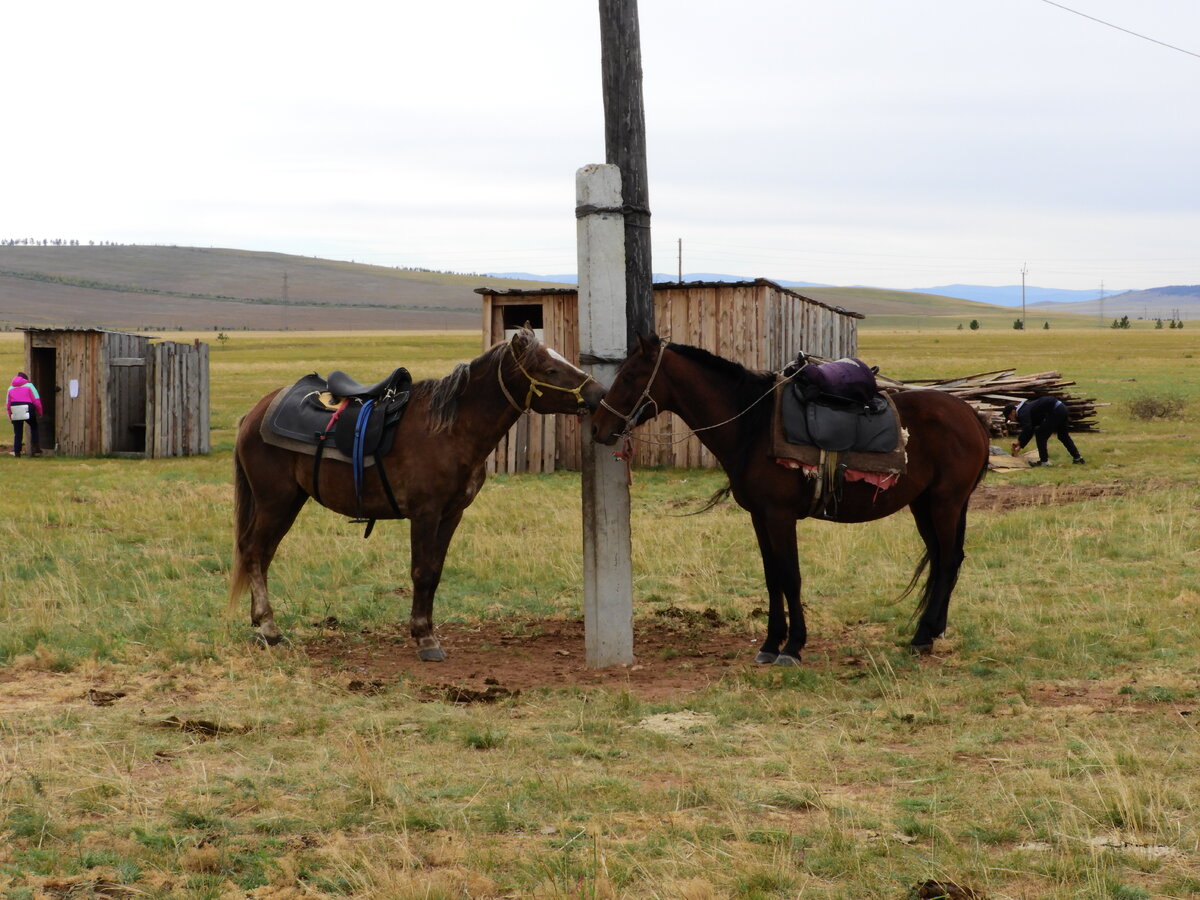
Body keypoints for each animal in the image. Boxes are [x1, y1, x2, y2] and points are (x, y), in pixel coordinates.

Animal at [230, 328, 604, 657]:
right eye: (550, 369)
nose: (598, 393)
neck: (451, 430)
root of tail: (255, 413)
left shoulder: (452, 514)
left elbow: (434, 571)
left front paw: (425, 629)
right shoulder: (425, 513)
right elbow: (421, 572)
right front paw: (425, 638)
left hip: (289, 501)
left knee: (263, 554)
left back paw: (259, 623)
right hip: (274, 501)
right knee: (253, 550)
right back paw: (268, 627)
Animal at [592, 336, 993, 667]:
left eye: (629, 377)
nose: (597, 427)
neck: (752, 427)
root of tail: (971, 414)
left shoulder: (780, 516)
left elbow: (791, 576)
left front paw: (793, 646)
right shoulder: (760, 517)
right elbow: (773, 578)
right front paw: (771, 644)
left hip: (945, 502)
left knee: (948, 561)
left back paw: (922, 637)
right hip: (924, 504)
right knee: (944, 559)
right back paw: (933, 630)